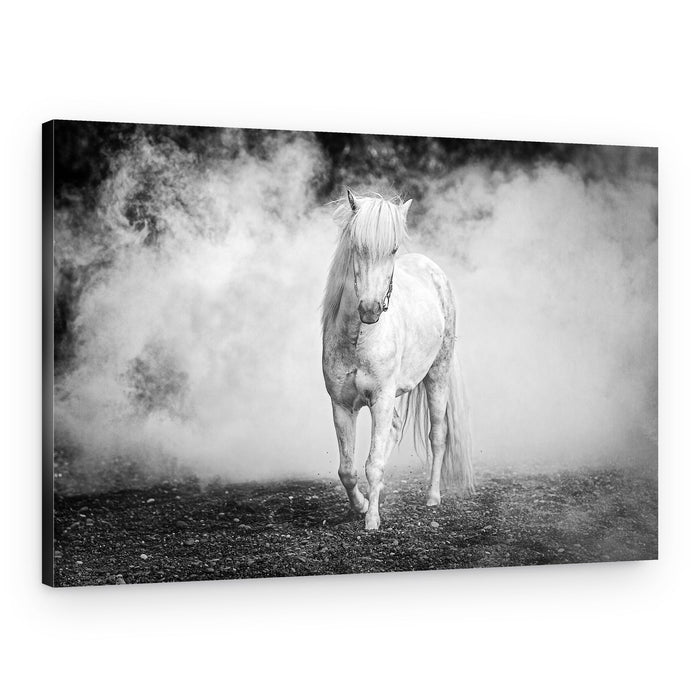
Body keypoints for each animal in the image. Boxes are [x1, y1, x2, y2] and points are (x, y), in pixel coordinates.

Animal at [321, 189, 475, 530]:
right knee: (393, 430)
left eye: (392, 249)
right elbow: (347, 469)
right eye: (358, 247)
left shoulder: (381, 398)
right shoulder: (341, 404)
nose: (370, 309)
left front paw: (372, 521)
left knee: (437, 436)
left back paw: (433, 497)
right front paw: (362, 505)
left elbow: (373, 463)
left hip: (437, 376)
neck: (359, 337)